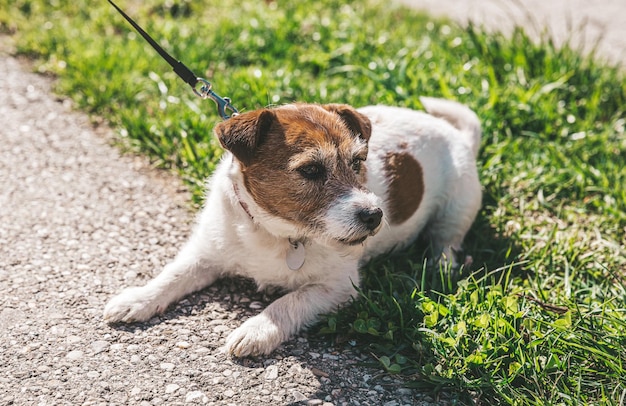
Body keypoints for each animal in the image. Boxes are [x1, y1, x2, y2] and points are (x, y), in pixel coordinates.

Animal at [105, 96, 480, 356]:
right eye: (311, 170)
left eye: (358, 162)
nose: (375, 215)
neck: (274, 232)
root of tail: (459, 135)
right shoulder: (206, 254)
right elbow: (173, 274)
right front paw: (138, 298)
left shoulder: (338, 287)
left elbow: (291, 301)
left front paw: (257, 328)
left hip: (459, 206)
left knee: (448, 240)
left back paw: (440, 266)